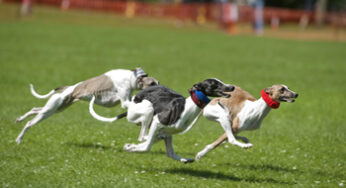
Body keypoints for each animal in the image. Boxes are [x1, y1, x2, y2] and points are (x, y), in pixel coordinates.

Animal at [14, 68, 158, 143]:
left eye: (157, 82)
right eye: (152, 83)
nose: (160, 88)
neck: (130, 77)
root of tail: (67, 88)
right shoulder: (124, 101)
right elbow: (128, 103)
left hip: (57, 108)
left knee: (35, 109)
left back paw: (19, 119)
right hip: (51, 109)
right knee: (30, 122)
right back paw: (19, 138)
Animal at [90, 78, 235, 162]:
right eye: (215, 84)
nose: (232, 87)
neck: (187, 107)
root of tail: (131, 105)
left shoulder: (168, 131)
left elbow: (167, 150)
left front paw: (130, 147)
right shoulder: (157, 121)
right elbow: (146, 147)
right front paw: (133, 148)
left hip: (165, 131)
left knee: (168, 150)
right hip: (148, 109)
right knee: (144, 137)